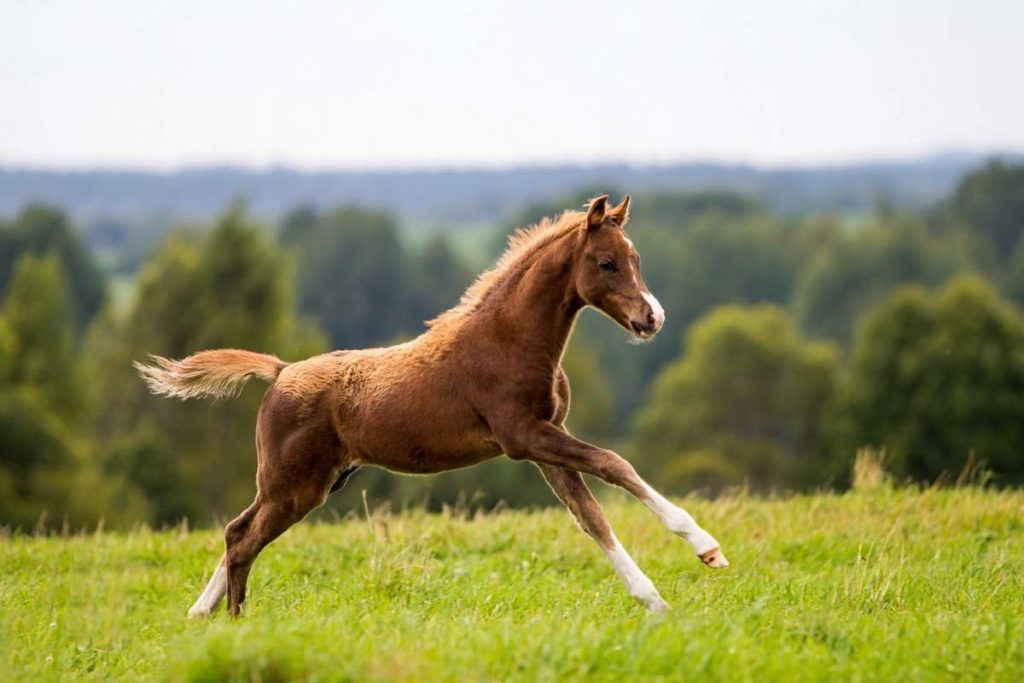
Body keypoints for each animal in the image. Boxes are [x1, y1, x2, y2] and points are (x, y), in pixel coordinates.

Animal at [136, 194, 729, 618]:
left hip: (311, 481)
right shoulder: (524, 436)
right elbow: (614, 465)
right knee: (241, 538)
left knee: (238, 529)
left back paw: (199, 613)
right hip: (295, 485)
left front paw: (654, 599)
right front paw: (706, 547)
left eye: (636, 259)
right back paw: (236, 624)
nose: (652, 319)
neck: (509, 339)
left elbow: (592, 518)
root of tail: (282, 371)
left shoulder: (545, 440)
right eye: (606, 263)